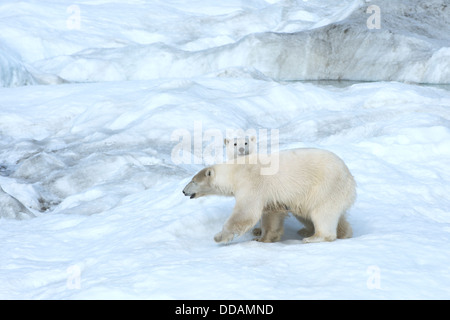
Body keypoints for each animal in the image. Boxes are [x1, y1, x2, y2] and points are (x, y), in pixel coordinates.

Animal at [182, 149, 356, 244]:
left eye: (193, 181)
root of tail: (350, 179)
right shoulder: (269, 195)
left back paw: (314, 237)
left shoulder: (251, 183)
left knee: (322, 214)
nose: (183, 191)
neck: (235, 171)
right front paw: (262, 235)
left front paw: (219, 237)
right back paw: (340, 232)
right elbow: (272, 213)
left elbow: (246, 213)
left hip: (325, 188)